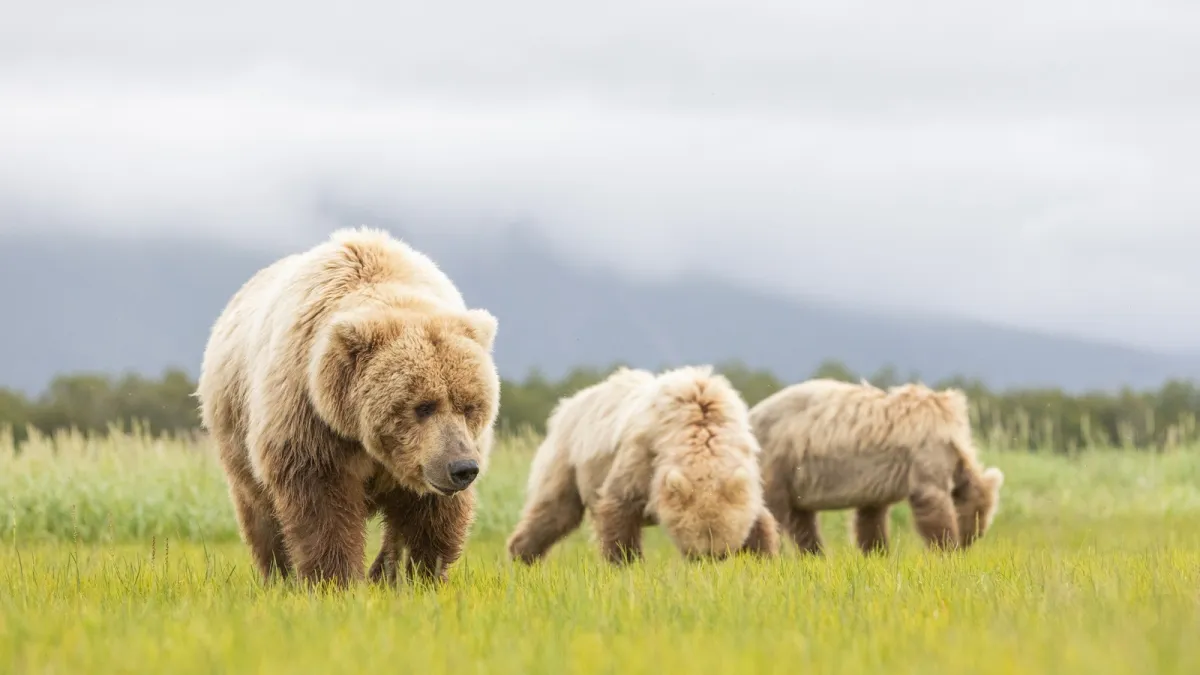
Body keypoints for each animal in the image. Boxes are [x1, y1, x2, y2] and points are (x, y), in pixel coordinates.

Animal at [196, 225, 501, 583]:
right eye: (423, 406)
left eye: (469, 406)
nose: (462, 468)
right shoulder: (311, 419)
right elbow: (322, 504)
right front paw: (336, 579)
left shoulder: (431, 458)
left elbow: (428, 517)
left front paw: (413, 574)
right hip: (236, 434)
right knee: (260, 514)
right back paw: (280, 576)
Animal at [504, 365, 777, 559]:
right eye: (696, 552)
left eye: (721, 552)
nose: (707, 563)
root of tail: (568, 403)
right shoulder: (642, 455)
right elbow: (619, 508)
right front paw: (624, 565)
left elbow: (759, 521)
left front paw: (762, 557)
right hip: (567, 457)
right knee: (555, 510)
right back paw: (522, 555)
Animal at [748, 374, 1003, 554]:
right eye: (980, 522)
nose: (970, 541)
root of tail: (751, 412)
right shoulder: (926, 453)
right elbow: (931, 499)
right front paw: (947, 549)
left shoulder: (875, 481)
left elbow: (870, 518)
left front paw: (877, 552)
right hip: (779, 457)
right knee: (770, 510)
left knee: (802, 520)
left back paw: (815, 555)